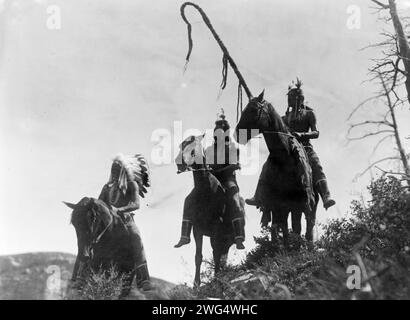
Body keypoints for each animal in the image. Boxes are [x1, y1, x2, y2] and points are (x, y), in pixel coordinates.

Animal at [175, 134, 243, 286]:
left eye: (193, 149)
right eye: (181, 146)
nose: (179, 164)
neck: (206, 192)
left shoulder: (216, 231)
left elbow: (215, 255)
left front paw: (217, 279)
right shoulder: (197, 230)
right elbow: (198, 256)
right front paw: (196, 284)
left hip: (227, 238)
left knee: (220, 255)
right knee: (221, 256)